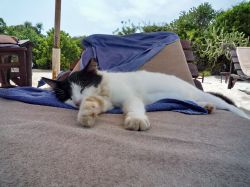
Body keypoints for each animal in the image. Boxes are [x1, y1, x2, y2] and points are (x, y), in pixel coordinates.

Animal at [42, 62, 249, 131]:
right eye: (67, 95)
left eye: (83, 86)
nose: (77, 101)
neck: (104, 88)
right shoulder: (106, 101)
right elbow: (95, 103)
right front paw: (86, 113)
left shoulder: (130, 96)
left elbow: (134, 106)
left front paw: (136, 119)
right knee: (192, 102)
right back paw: (205, 106)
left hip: (206, 95)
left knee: (229, 106)